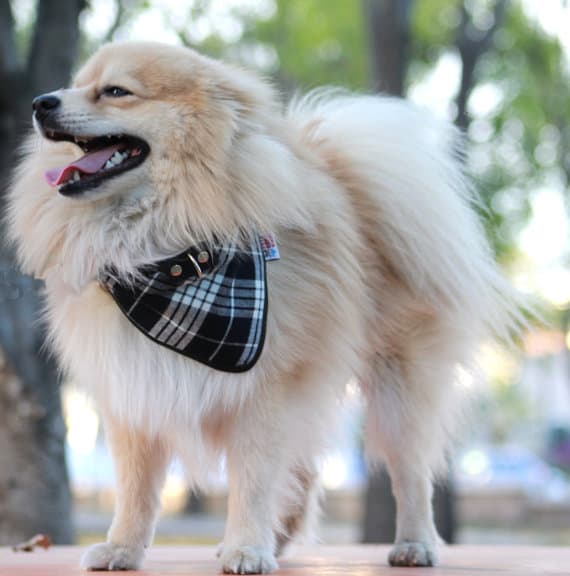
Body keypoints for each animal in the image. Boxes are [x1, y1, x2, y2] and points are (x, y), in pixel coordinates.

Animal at [6, 42, 516, 572]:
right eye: (75, 85)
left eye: (115, 92)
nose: (41, 102)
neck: (166, 264)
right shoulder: (134, 390)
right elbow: (136, 489)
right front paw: (123, 548)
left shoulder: (264, 394)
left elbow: (252, 481)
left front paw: (247, 547)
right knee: (305, 471)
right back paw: (282, 539)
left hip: (400, 388)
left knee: (409, 469)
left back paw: (414, 543)